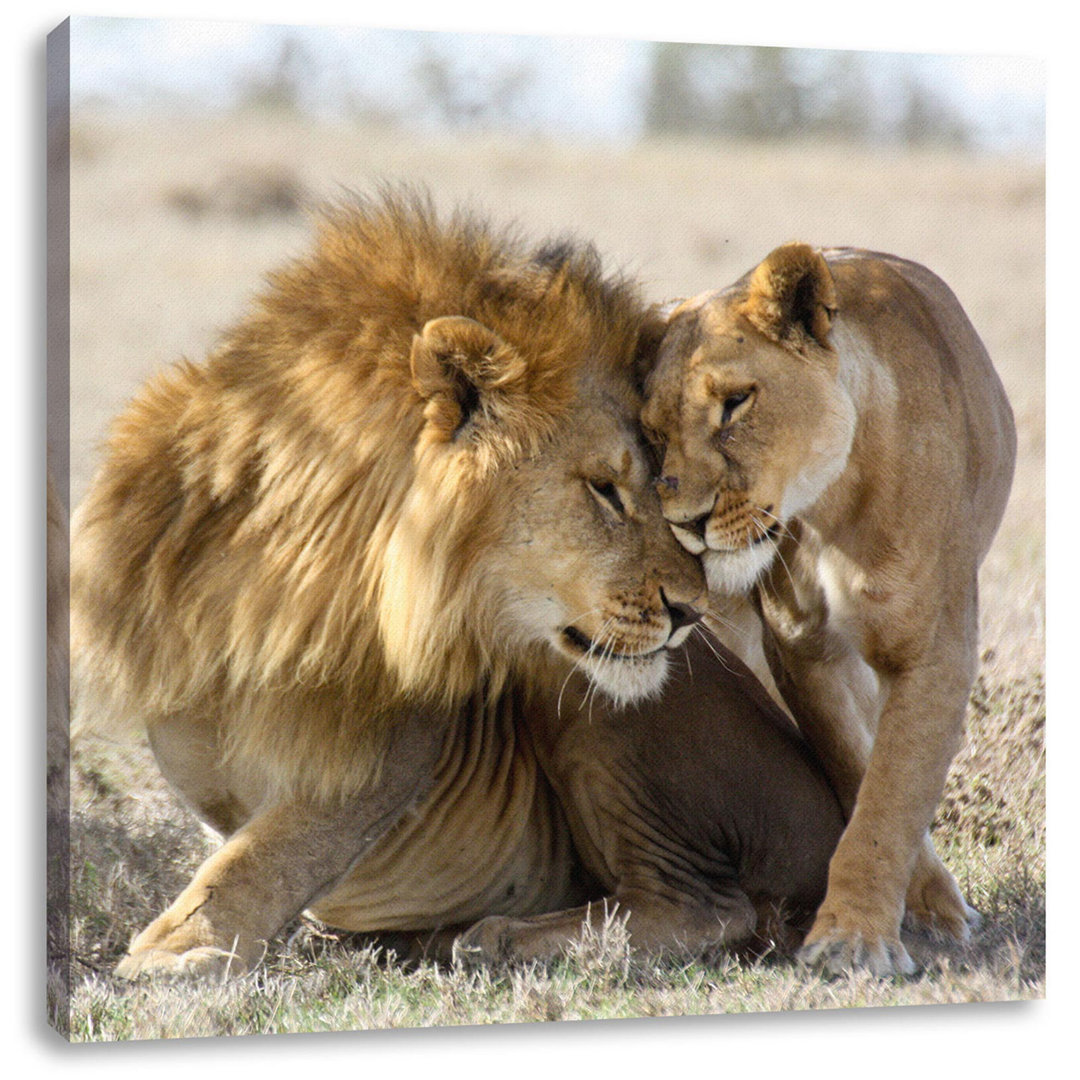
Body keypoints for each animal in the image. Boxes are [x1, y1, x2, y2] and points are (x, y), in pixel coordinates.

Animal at [69, 196, 842, 980]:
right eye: (605, 489)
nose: (691, 612)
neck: (284, 573)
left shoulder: (391, 748)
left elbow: (270, 854)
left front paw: (175, 950)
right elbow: (243, 840)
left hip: (591, 703)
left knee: (708, 906)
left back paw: (499, 937)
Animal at [639, 245, 1019, 980]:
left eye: (735, 403)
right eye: (651, 432)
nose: (685, 523)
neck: (831, 507)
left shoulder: (933, 652)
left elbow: (890, 794)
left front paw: (854, 940)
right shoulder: (801, 650)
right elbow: (859, 770)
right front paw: (896, 914)